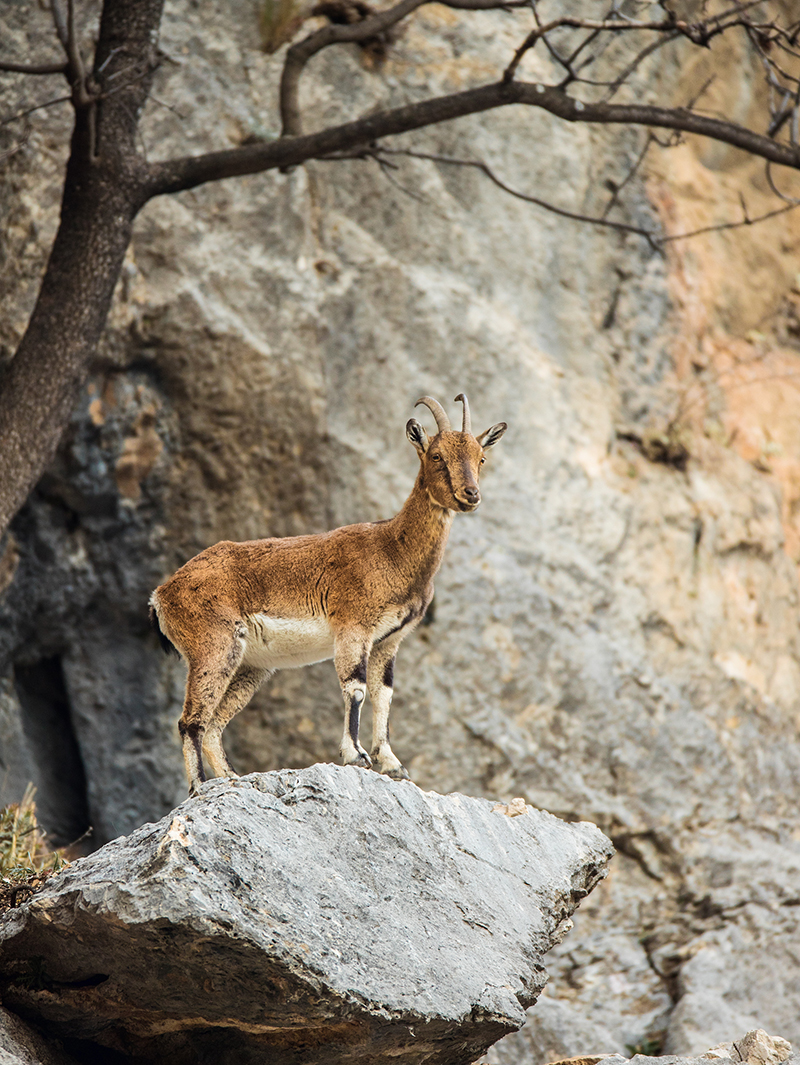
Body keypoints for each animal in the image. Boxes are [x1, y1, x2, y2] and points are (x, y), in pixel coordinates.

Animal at [150, 396, 507, 796]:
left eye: (481, 457)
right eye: (436, 455)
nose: (470, 495)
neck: (393, 549)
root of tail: (162, 594)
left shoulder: (388, 641)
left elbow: (384, 694)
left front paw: (393, 764)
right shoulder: (353, 627)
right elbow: (356, 688)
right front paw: (356, 755)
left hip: (249, 665)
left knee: (213, 722)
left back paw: (231, 778)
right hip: (212, 644)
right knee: (190, 720)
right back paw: (199, 786)